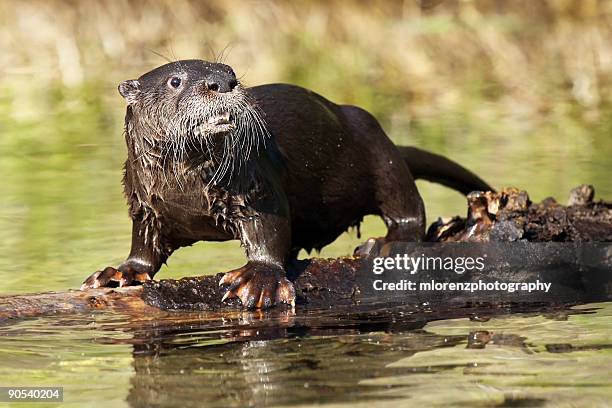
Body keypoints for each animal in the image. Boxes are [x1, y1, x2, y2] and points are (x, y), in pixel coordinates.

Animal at [81, 59, 492, 310]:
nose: (222, 82)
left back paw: (386, 244)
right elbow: (144, 245)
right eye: (175, 80)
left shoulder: (255, 186)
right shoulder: (144, 205)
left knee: (407, 206)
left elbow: (270, 228)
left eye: (228, 70)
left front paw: (259, 279)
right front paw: (120, 272)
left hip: (377, 145)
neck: (185, 192)